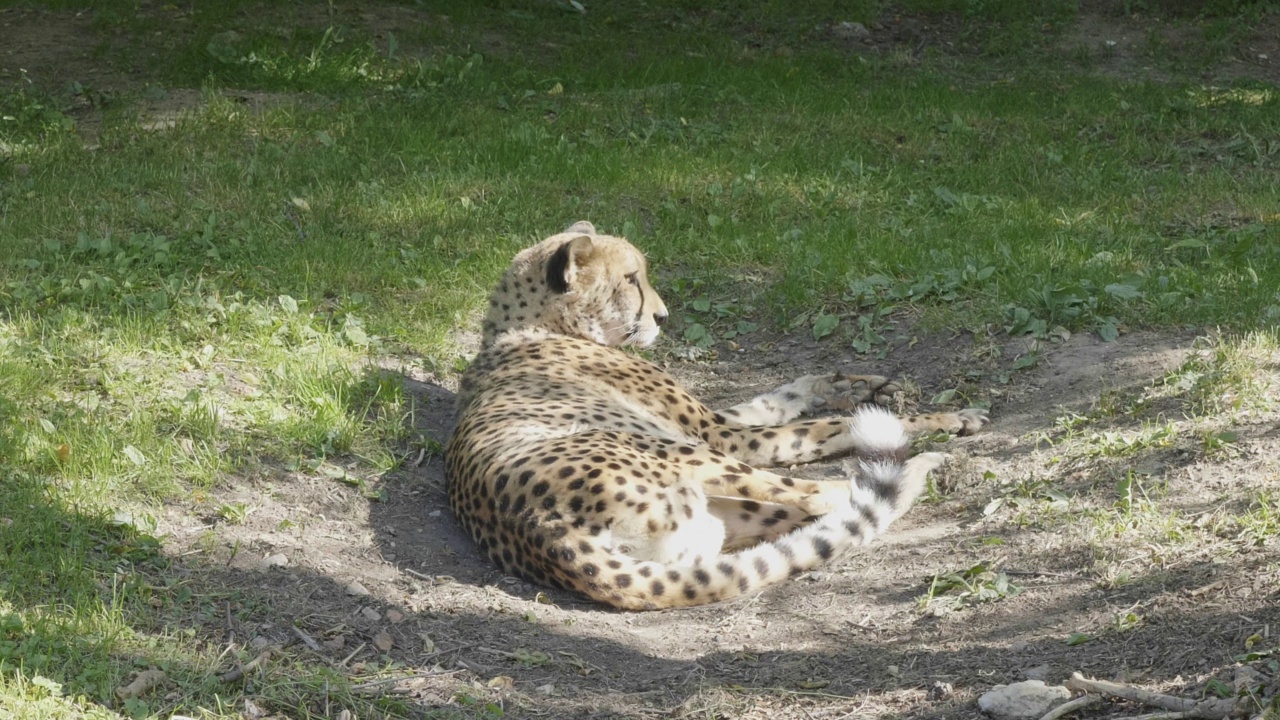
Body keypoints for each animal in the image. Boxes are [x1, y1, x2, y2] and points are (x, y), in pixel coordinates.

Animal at [442, 221, 988, 607]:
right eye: (631, 279)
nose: (662, 316)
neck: (531, 326)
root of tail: (543, 532)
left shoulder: (723, 421)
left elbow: (781, 397)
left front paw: (849, 383)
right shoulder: (720, 435)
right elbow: (825, 426)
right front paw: (943, 419)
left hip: (719, 515)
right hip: (688, 456)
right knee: (830, 493)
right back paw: (927, 464)